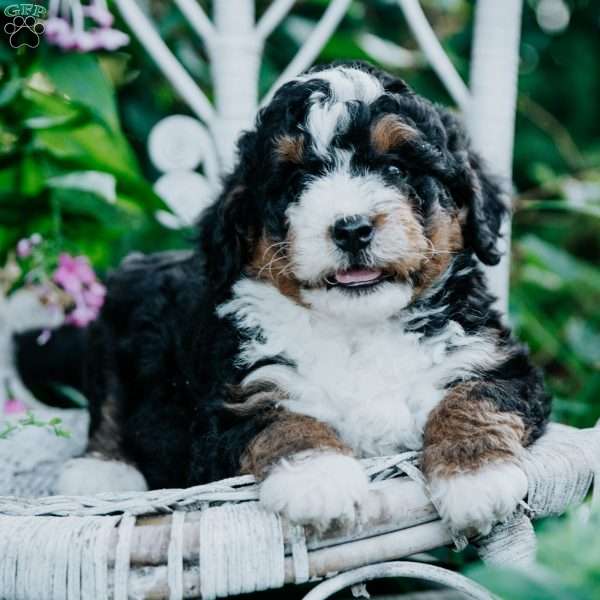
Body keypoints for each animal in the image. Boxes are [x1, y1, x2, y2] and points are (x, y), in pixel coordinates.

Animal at [58, 63, 552, 536]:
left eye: (396, 169)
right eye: (297, 180)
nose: (352, 228)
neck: (358, 327)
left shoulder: (492, 359)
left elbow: (475, 395)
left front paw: (476, 474)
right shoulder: (237, 397)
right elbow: (281, 420)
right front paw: (319, 479)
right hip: (112, 323)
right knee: (108, 404)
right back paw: (101, 471)